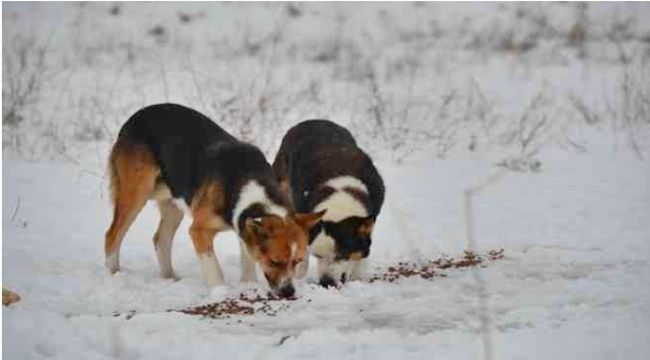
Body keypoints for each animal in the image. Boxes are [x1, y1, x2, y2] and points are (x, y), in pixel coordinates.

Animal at [104, 102, 324, 296]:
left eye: (297, 261)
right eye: (275, 262)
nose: (289, 292)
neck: (245, 181)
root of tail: (134, 117)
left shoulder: (243, 226)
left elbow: (248, 261)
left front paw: (249, 285)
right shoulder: (199, 231)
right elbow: (214, 269)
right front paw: (221, 292)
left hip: (172, 203)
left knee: (161, 240)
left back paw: (170, 279)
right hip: (137, 192)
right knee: (112, 236)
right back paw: (113, 274)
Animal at [270, 120, 382, 286]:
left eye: (342, 255)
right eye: (318, 256)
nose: (326, 282)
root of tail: (312, 121)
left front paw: (357, 275)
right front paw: (299, 273)